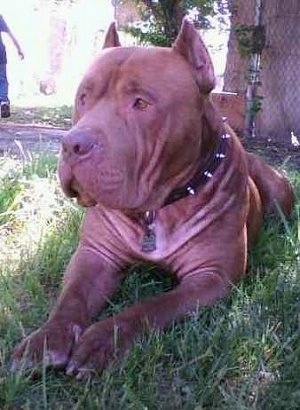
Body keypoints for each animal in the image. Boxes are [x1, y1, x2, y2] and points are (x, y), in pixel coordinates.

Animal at [11, 19, 292, 378]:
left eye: (141, 103)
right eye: (84, 97)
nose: (72, 144)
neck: (155, 210)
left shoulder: (211, 275)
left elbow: (149, 308)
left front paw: (102, 341)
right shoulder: (94, 255)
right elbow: (70, 301)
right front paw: (45, 340)